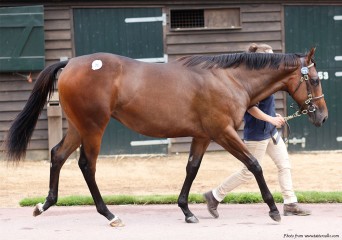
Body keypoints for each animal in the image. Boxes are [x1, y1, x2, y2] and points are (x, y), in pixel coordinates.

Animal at [4, 47, 326, 227]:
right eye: (315, 79)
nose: (321, 116)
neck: (228, 79)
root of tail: (70, 63)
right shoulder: (222, 132)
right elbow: (254, 165)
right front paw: (273, 210)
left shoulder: (202, 135)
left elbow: (191, 169)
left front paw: (187, 210)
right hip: (93, 127)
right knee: (87, 165)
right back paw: (109, 215)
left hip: (77, 126)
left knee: (58, 155)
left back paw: (44, 204)